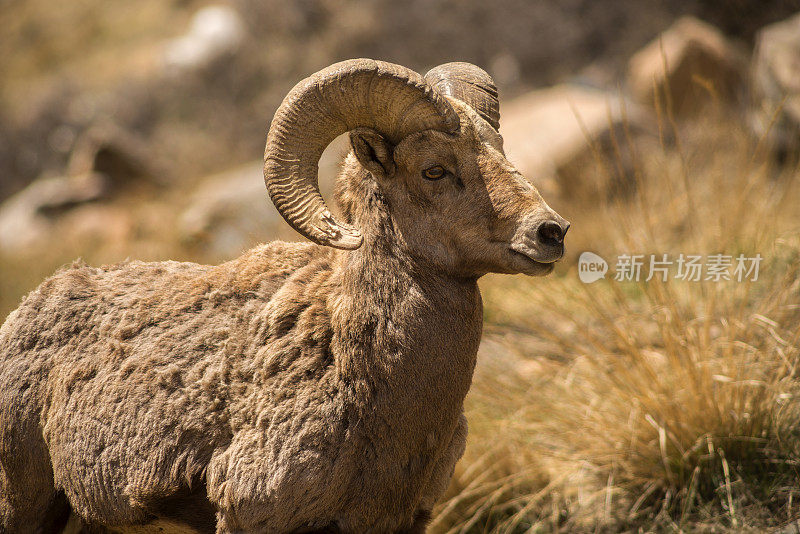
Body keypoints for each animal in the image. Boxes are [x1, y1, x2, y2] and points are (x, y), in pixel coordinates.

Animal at [0, 59, 568, 534]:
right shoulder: (253, 518)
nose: (550, 232)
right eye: (434, 169)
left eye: (500, 151)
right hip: (23, 505)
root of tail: (29, 308)